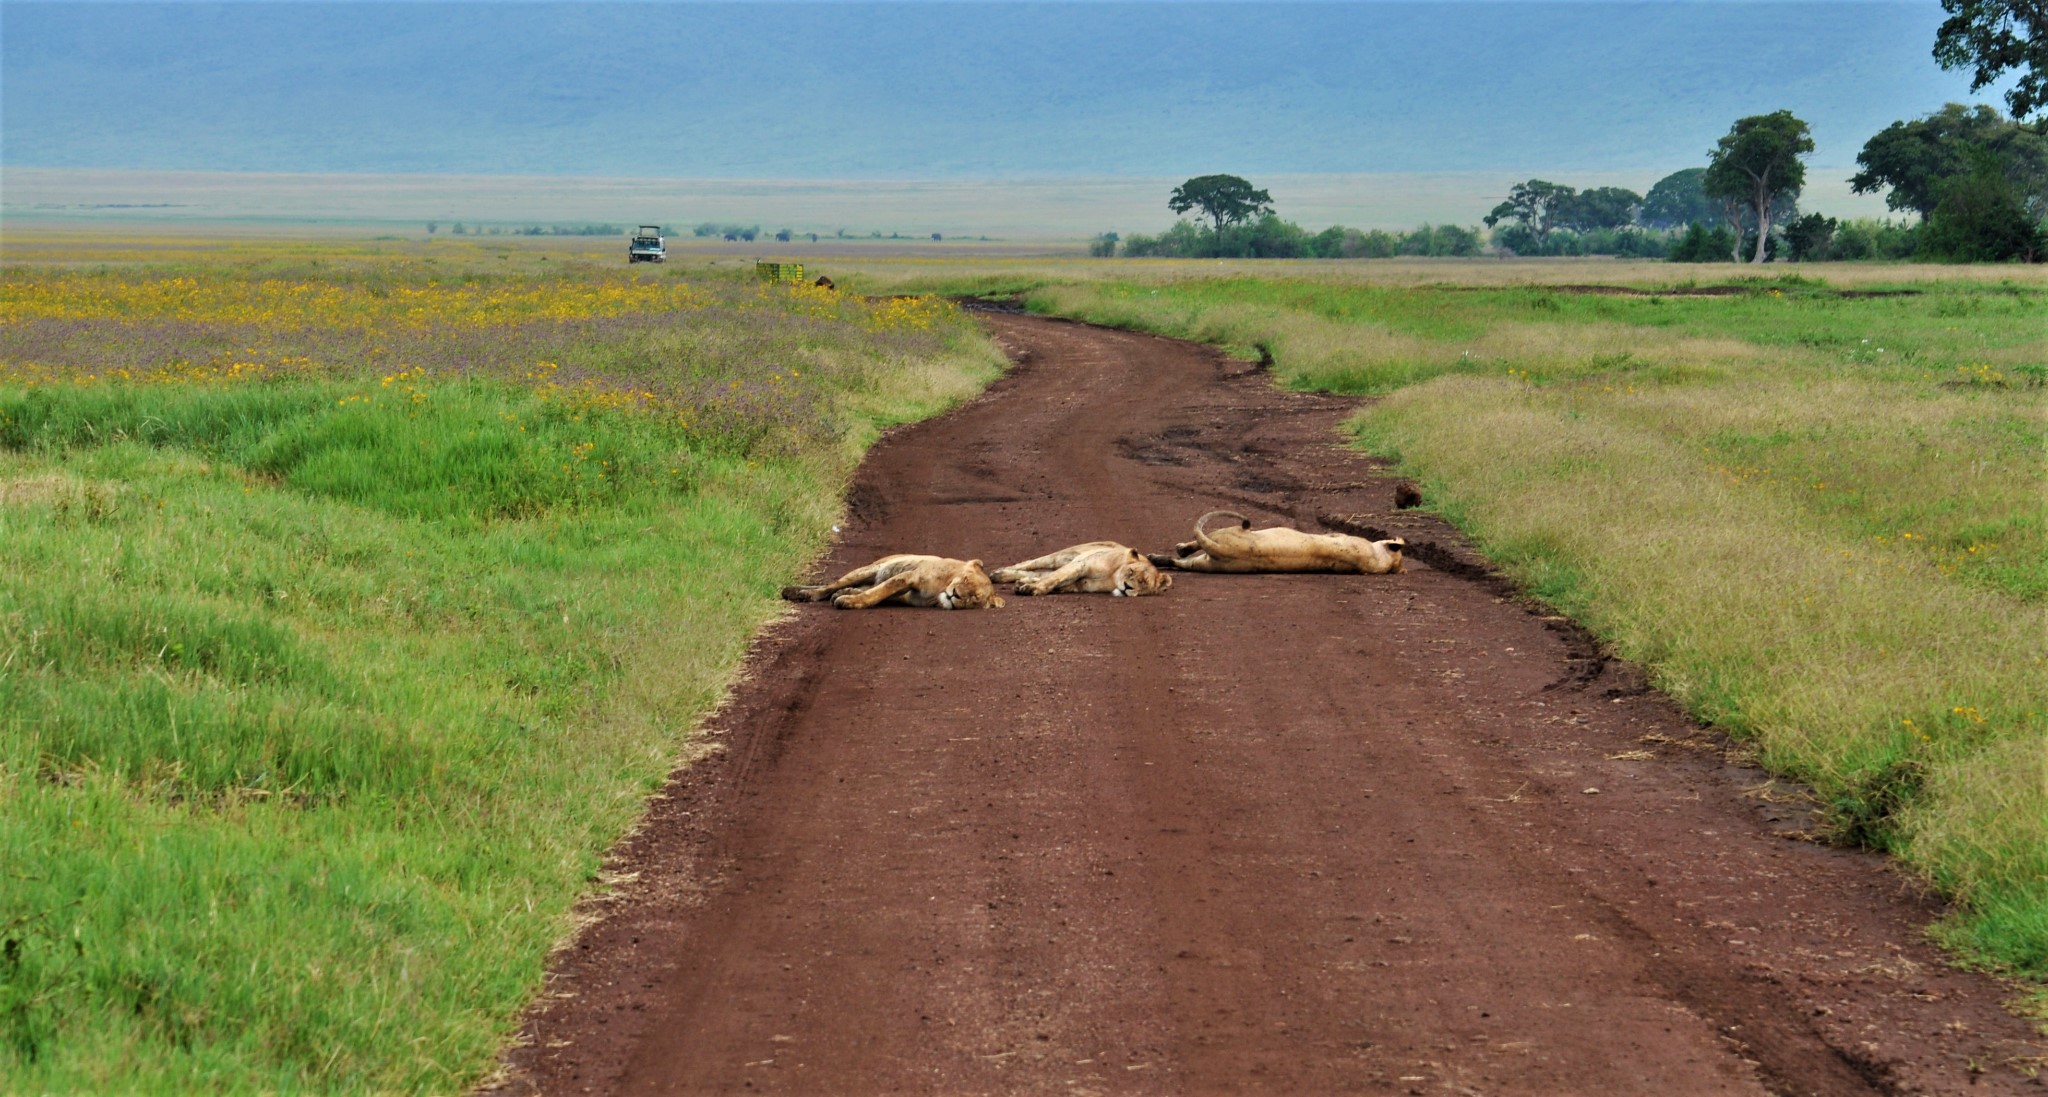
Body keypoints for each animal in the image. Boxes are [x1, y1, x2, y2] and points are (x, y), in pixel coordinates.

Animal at [778, 552, 1003, 613]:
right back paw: (798, 593)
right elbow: (877, 593)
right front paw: (849, 602)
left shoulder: (908, 595)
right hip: (868, 569)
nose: (955, 594)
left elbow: (879, 594)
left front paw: (848, 598)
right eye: (965, 579)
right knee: (828, 587)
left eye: (973, 598)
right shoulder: (909, 577)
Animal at [987, 540, 1171, 597]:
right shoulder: (1080, 565)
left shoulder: (1083, 583)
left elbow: (1056, 582)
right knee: (1030, 564)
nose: (1127, 587)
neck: (1113, 576)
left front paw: (1026, 586)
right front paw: (1032, 589)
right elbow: (1054, 578)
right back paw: (998, 574)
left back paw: (1019, 580)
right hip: (1062, 556)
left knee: (1039, 573)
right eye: (1130, 572)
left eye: (1143, 582)